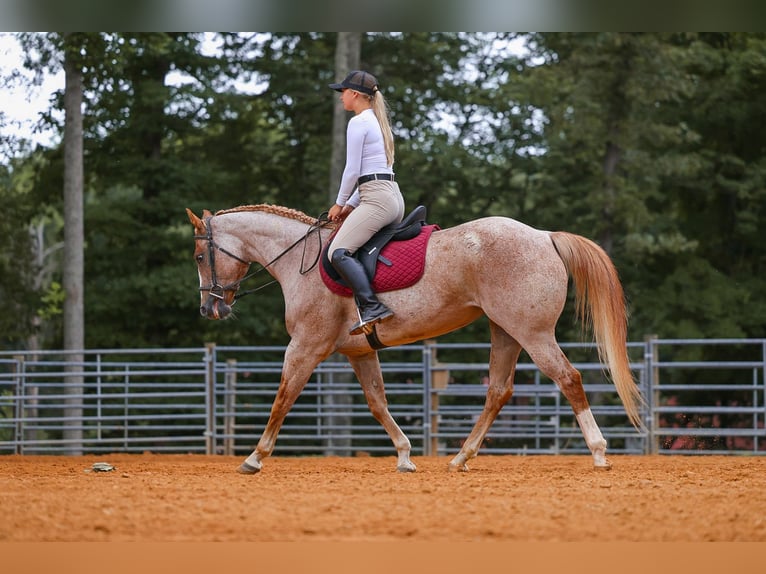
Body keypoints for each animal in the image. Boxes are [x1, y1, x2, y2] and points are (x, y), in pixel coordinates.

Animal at [186, 204, 644, 474]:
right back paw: (461, 456)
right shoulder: (358, 352)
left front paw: (254, 457)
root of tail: (543, 235)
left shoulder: (305, 347)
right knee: (498, 391)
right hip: (506, 332)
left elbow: (283, 397)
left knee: (568, 379)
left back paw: (599, 452)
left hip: (532, 334)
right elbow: (377, 403)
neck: (304, 260)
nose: (209, 308)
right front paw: (405, 454)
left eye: (199, 256)